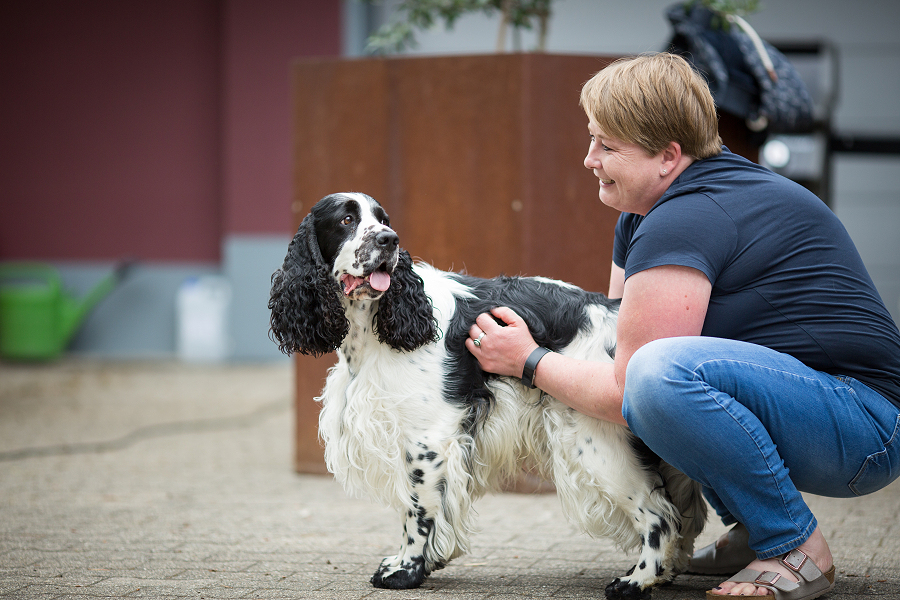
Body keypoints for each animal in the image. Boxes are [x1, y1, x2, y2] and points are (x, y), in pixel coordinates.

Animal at [270, 195, 708, 596]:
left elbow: (417, 509)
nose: (389, 240)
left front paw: (407, 570)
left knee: (659, 513)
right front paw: (423, 562)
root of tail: (614, 315)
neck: (375, 326)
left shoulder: (426, 439)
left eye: (384, 220)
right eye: (346, 219)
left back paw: (637, 580)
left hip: (593, 441)